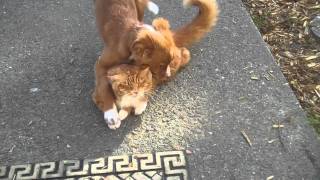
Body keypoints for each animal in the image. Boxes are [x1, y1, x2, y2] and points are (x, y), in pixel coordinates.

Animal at [91, 0, 219, 129]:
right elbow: (103, 88)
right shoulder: (101, 65)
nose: (168, 77)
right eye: (161, 65)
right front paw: (111, 115)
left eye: (168, 63)